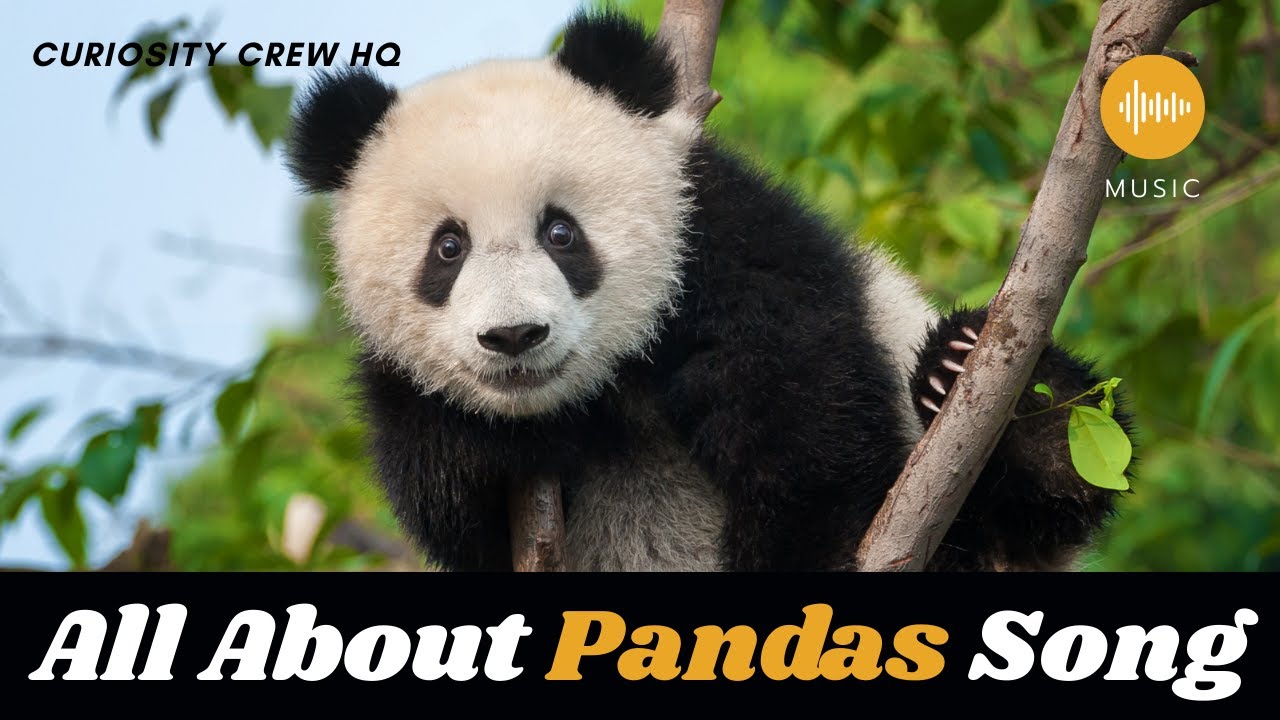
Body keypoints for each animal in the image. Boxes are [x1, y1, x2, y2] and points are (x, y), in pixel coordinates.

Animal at [285, 12, 1129, 571]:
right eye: (448, 248)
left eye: (561, 232)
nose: (515, 337)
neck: (604, 386)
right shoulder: (403, 388)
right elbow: (445, 496)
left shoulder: (728, 247)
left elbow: (807, 433)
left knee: (1040, 496)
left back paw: (998, 392)